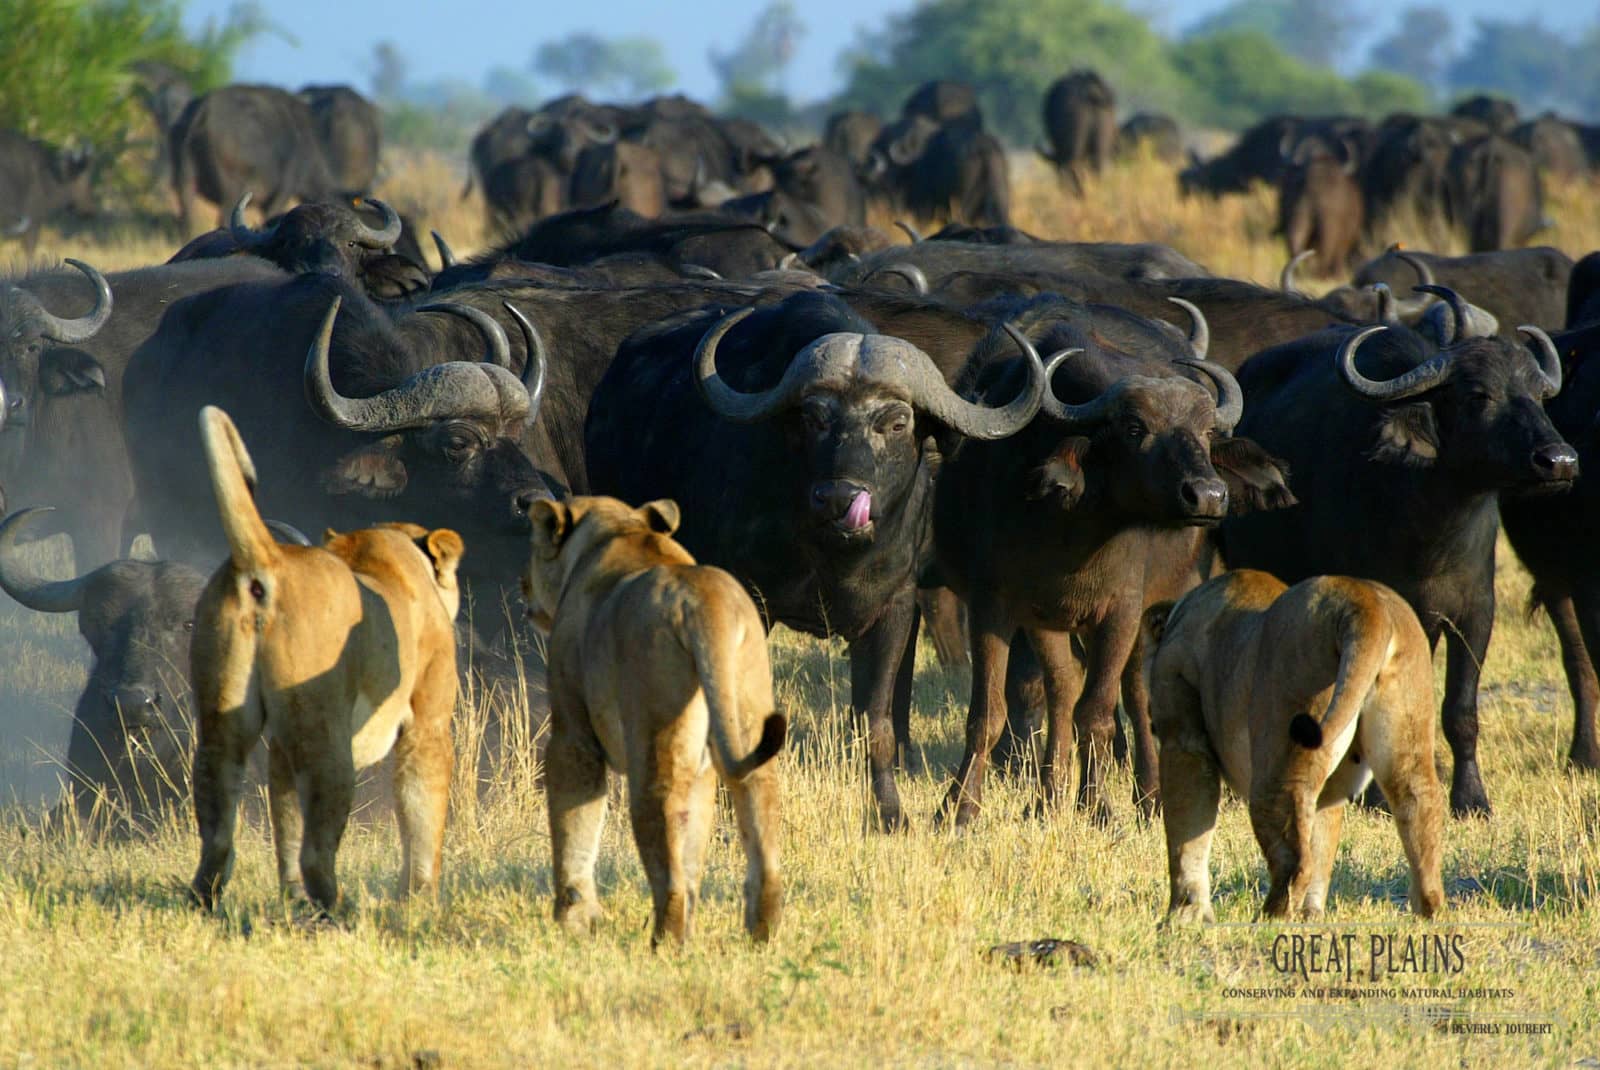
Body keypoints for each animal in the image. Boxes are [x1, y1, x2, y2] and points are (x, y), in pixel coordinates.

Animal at [188, 406, 464, 914]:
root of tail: (268, 561)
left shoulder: (280, 747)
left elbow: (284, 824)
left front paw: (291, 897)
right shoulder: (428, 723)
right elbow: (422, 816)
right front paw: (421, 902)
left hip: (222, 722)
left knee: (217, 831)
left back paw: (208, 900)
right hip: (329, 740)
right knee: (318, 851)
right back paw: (345, 910)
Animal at [522, 494, 785, 947]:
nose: (522, 583)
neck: (620, 528)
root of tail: (703, 600)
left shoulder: (573, 734)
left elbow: (574, 821)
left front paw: (573, 922)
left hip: (653, 732)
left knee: (668, 853)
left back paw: (665, 942)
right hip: (744, 710)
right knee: (754, 813)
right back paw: (758, 938)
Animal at [1142, 570, 1445, 922]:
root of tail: (1363, 602)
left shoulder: (1182, 736)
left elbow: (1187, 834)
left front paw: (1183, 916)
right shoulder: (1331, 788)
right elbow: (1323, 838)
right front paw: (1311, 915)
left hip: (1280, 749)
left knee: (1294, 855)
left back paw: (1269, 917)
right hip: (1405, 735)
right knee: (1418, 803)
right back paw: (1428, 910)